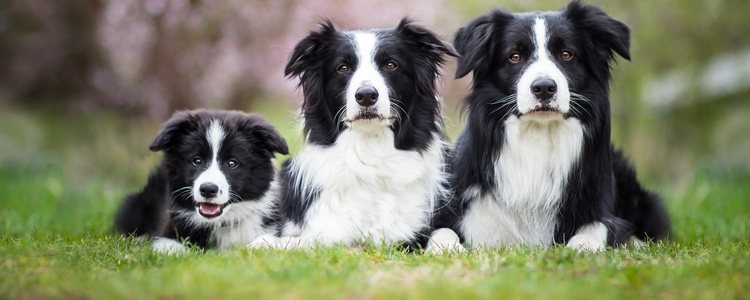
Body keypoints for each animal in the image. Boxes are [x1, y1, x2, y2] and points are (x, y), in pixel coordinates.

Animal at [116, 110, 290, 253]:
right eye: (197, 161)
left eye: (232, 163)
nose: (208, 189)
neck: (221, 223)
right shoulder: (170, 227)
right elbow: (170, 246)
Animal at [250, 17, 458, 250]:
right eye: (343, 68)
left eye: (391, 65)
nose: (366, 95)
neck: (371, 151)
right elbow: (311, 239)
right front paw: (266, 241)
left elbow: (445, 231)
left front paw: (448, 247)